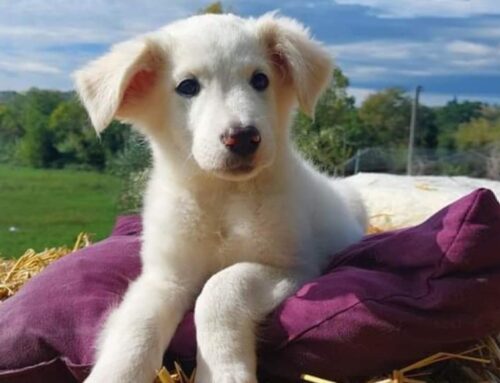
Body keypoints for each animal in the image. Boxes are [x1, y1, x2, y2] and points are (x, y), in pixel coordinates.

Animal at [74, 12, 366, 383]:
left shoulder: (294, 266)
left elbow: (220, 289)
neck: (223, 199)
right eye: (187, 86)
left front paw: (225, 372)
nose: (242, 137)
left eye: (260, 79)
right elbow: (136, 326)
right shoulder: (165, 276)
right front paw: (114, 372)